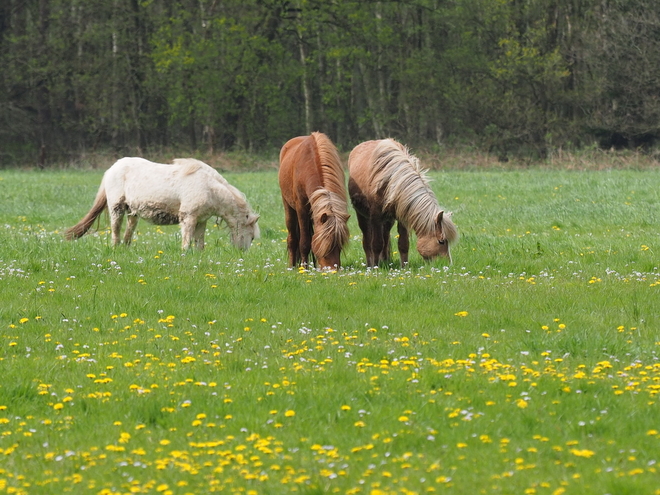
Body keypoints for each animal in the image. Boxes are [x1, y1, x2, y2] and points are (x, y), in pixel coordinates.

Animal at [64, 158, 260, 252]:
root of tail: (111, 169)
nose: (242, 254)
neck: (210, 188)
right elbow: (187, 241)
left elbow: (199, 242)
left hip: (133, 212)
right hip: (116, 209)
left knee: (129, 231)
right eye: (251, 237)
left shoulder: (201, 220)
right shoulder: (188, 218)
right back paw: (115, 248)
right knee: (116, 230)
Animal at [278, 132, 350, 270]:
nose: (333, 270)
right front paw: (304, 269)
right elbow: (305, 241)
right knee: (292, 238)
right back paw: (292, 266)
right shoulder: (301, 209)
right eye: (325, 245)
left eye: (340, 245)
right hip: (288, 207)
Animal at [348, 138, 456, 270]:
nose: (447, 265)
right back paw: (370, 263)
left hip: (388, 220)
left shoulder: (402, 217)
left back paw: (386, 261)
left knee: (386, 237)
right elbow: (376, 244)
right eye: (441, 241)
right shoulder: (375, 216)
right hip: (362, 216)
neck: (391, 180)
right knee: (367, 239)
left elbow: (403, 243)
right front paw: (375, 267)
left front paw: (404, 266)